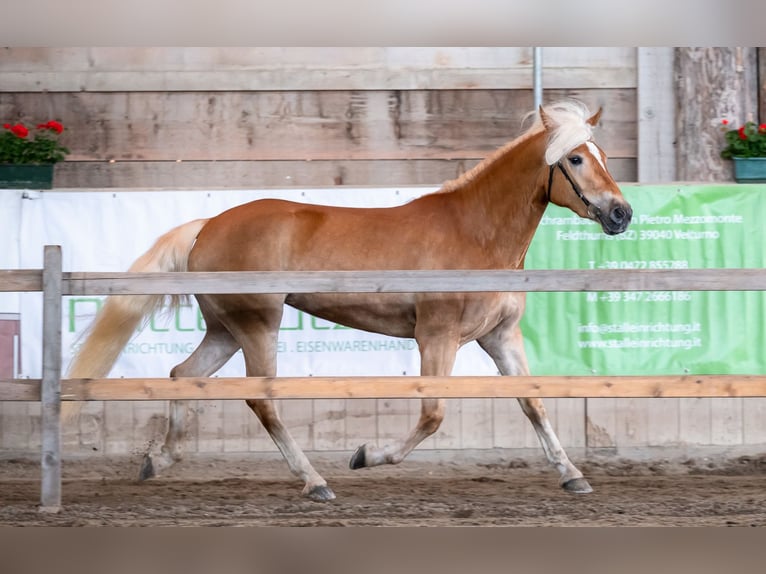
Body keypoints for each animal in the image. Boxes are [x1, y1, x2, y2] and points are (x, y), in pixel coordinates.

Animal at [66, 101, 632, 502]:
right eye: (575, 158)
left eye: (604, 157)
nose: (621, 214)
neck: (475, 233)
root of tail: (208, 226)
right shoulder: (438, 336)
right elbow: (432, 414)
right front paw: (366, 454)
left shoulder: (499, 335)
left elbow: (533, 402)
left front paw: (573, 475)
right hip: (258, 324)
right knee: (261, 399)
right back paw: (315, 482)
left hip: (226, 328)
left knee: (184, 375)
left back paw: (158, 462)